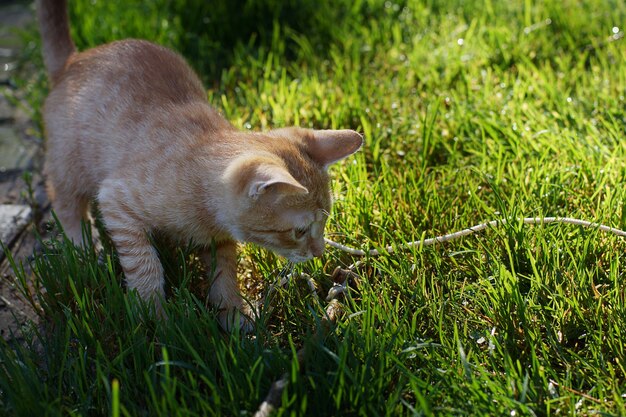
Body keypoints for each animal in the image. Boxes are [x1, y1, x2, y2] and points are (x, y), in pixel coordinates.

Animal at [37, 0, 360, 328]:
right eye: (300, 231)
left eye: (324, 223)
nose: (319, 252)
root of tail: (75, 60)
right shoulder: (116, 201)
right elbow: (144, 265)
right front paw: (156, 317)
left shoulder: (219, 243)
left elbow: (224, 276)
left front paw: (233, 316)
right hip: (70, 166)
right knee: (64, 203)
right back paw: (82, 249)